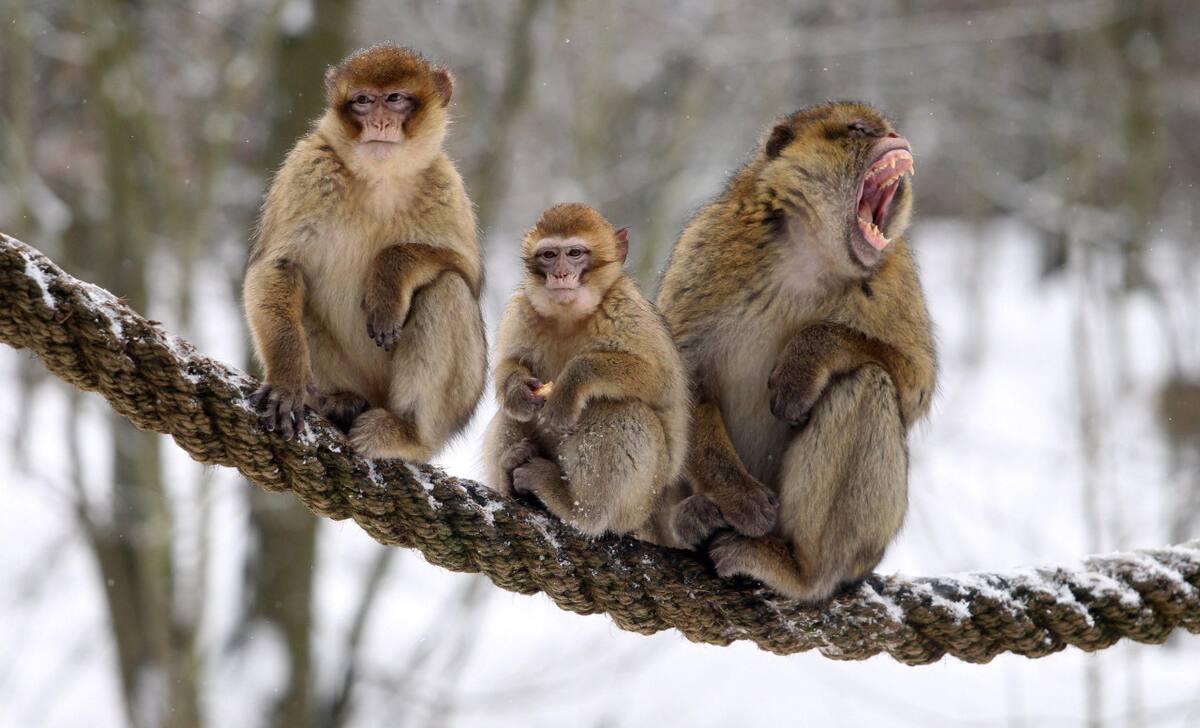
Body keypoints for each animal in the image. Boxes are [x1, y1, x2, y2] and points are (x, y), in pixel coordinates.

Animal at [243, 44, 486, 463]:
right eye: (362, 101)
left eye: (395, 98)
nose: (379, 122)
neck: (380, 179)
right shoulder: (305, 171)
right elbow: (277, 267)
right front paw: (287, 380)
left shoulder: (446, 185)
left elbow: (466, 270)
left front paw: (387, 281)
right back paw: (339, 402)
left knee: (447, 289)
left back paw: (407, 432)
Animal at [482, 203, 690, 541]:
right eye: (549, 255)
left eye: (575, 253)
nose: (560, 274)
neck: (570, 317)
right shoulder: (521, 310)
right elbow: (509, 365)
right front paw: (517, 389)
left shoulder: (627, 311)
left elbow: (660, 381)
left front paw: (570, 384)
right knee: (511, 416)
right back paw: (512, 477)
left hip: (638, 503)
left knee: (618, 408)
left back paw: (578, 509)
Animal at [656, 102, 936, 603]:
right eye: (860, 130)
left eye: (886, 128)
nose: (898, 138)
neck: (812, 254)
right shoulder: (707, 248)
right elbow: (680, 380)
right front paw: (741, 498)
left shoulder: (894, 277)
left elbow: (916, 383)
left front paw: (805, 362)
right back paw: (687, 521)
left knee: (867, 383)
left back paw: (801, 571)